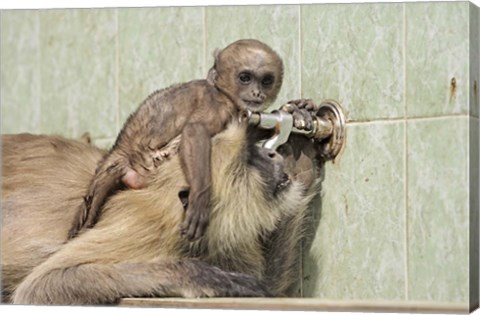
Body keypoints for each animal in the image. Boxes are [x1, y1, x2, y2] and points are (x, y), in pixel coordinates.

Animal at [0, 105, 322, 304]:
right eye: (249, 157)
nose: (271, 155)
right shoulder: (146, 227)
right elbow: (42, 285)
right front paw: (202, 277)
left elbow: (270, 284)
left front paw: (301, 157)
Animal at [69, 39, 284, 242]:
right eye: (245, 78)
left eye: (266, 80)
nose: (257, 93)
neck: (222, 92)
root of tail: (117, 153)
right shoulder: (218, 107)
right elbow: (194, 131)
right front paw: (200, 197)